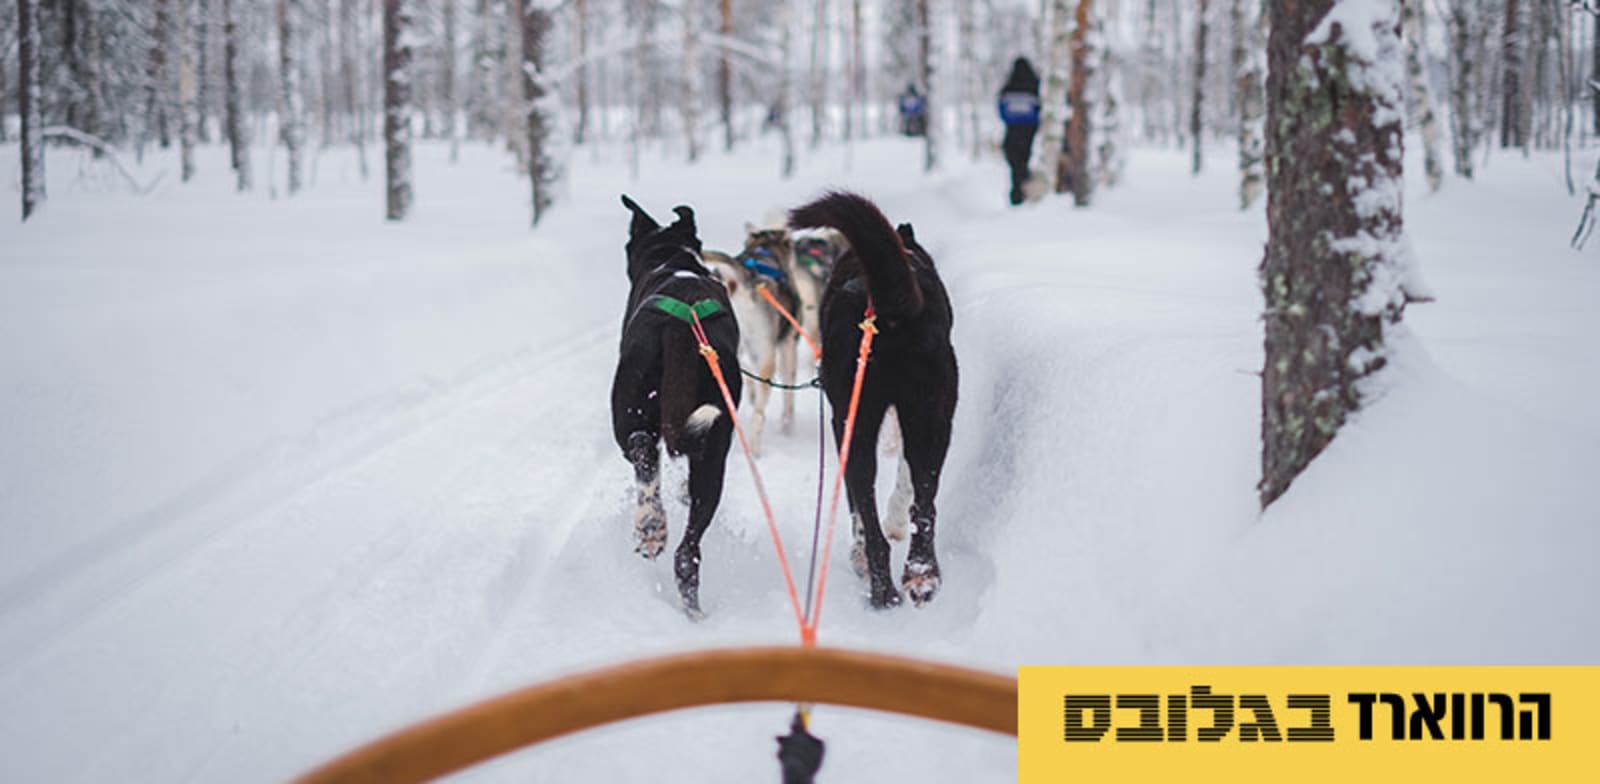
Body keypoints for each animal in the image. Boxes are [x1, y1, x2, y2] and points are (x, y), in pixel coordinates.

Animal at [611, 196, 742, 617]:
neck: (671, 258)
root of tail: (682, 328)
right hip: (713, 446)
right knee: (688, 553)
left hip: (630, 411)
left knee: (641, 450)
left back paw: (651, 525)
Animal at [790, 192, 953, 608]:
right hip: (927, 418)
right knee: (922, 505)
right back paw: (916, 576)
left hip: (860, 424)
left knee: (871, 510)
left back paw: (886, 586)